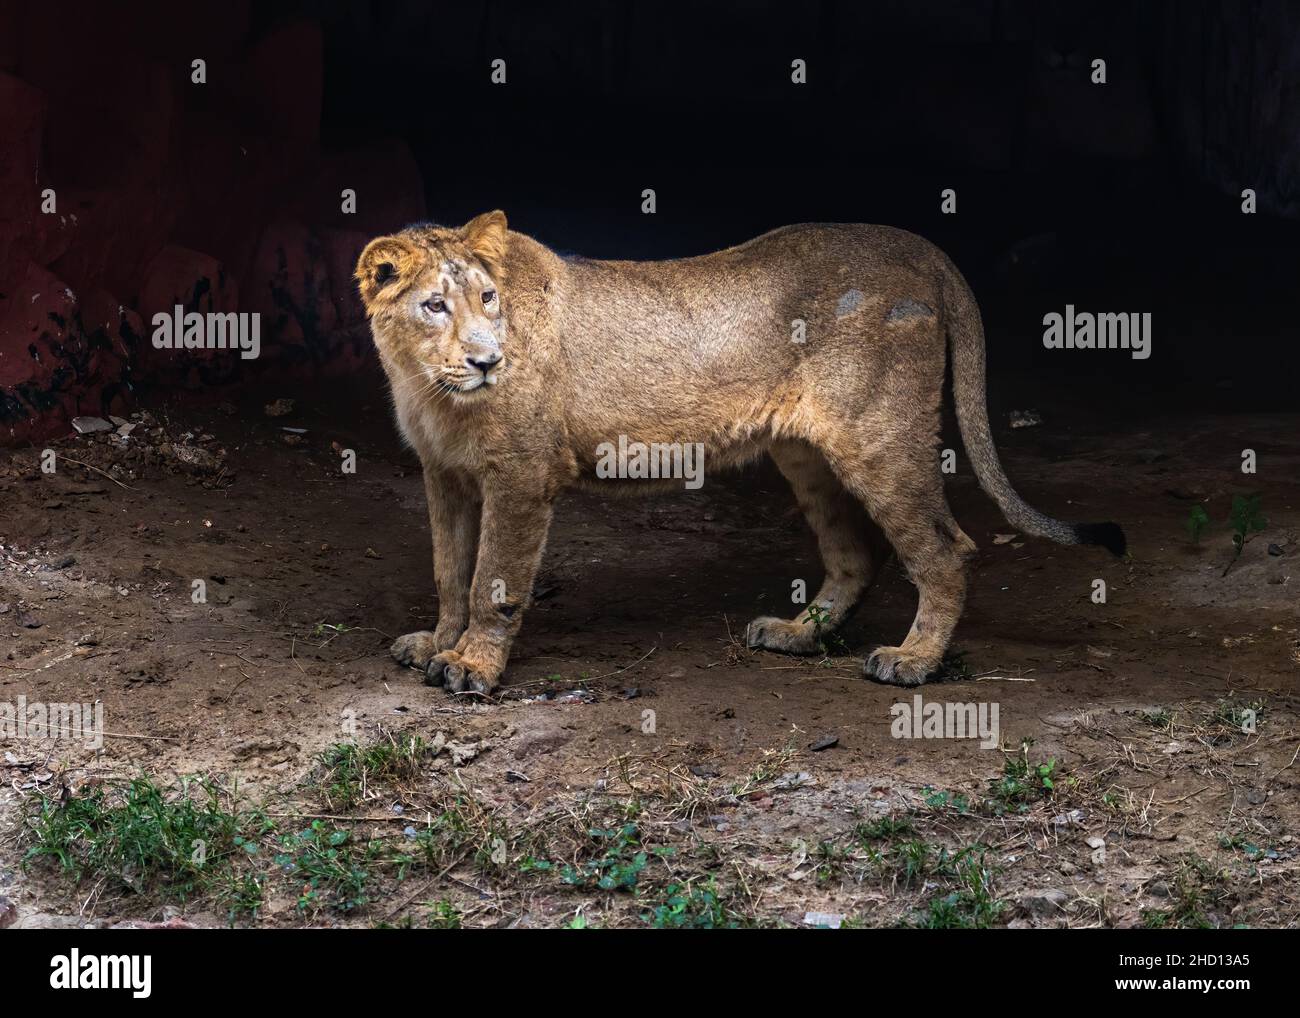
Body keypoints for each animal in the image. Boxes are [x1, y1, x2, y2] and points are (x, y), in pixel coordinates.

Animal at [355, 212, 1124, 694]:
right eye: (434, 306)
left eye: (489, 298)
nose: (488, 362)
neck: (429, 385)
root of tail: (921, 249)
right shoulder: (444, 475)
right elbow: (450, 570)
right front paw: (436, 643)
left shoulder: (522, 473)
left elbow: (494, 579)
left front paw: (473, 667)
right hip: (806, 454)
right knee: (858, 554)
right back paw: (797, 634)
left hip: (879, 435)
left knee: (944, 547)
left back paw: (913, 660)